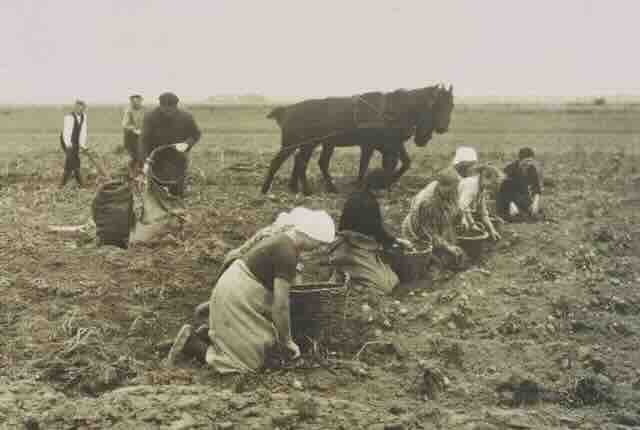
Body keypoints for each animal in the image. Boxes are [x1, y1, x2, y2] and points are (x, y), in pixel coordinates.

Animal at [262, 85, 456, 195]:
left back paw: (305, 188)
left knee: (307, 161)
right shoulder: (372, 145)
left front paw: (385, 184)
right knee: (286, 161)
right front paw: (369, 185)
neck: (392, 110)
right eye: (436, 105)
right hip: (298, 143)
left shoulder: (391, 144)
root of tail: (287, 109)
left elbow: (402, 163)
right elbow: (367, 165)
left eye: (451, 105)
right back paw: (270, 190)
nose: (442, 128)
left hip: (313, 144)